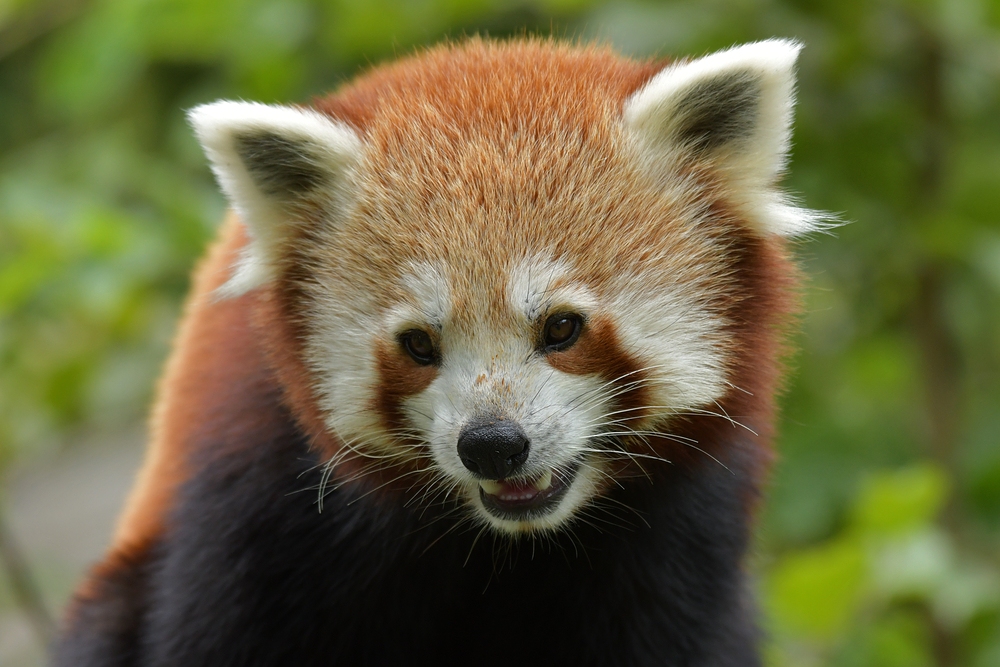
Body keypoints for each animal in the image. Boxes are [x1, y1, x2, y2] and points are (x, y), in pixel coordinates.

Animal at [52, 37, 820, 667]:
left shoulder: (674, 533)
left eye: (562, 329)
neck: (504, 543)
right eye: (419, 344)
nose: (492, 445)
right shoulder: (261, 507)